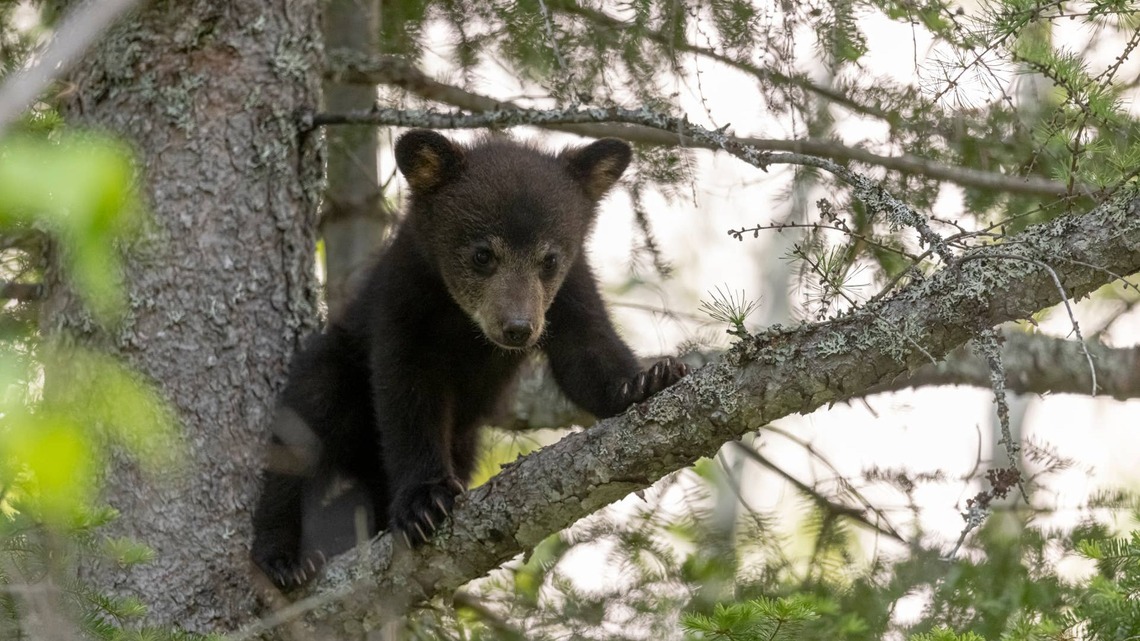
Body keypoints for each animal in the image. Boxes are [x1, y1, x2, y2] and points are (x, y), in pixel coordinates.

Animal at [250, 129, 690, 589]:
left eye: (549, 259)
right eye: (483, 254)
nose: (518, 328)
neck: (465, 325)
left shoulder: (569, 291)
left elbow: (586, 353)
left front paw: (647, 379)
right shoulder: (402, 300)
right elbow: (407, 394)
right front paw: (424, 501)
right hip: (333, 369)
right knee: (301, 434)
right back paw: (285, 558)